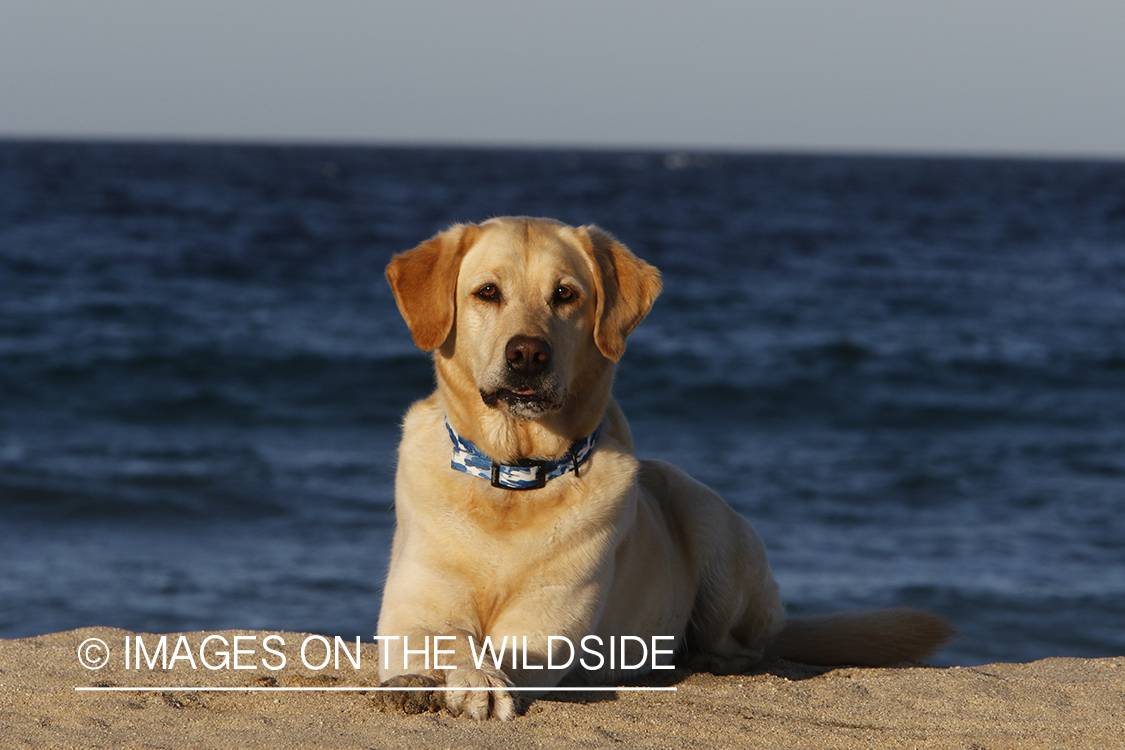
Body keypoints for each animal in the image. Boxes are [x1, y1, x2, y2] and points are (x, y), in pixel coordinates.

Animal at [378, 217, 949, 719]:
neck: (515, 481)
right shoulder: (410, 616)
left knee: (747, 644)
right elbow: (454, 639)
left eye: (565, 295)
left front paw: (484, 678)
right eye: (487, 292)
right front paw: (473, 678)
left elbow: (499, 649)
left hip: (709, 521)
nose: (527, 355)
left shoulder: (547, 626)